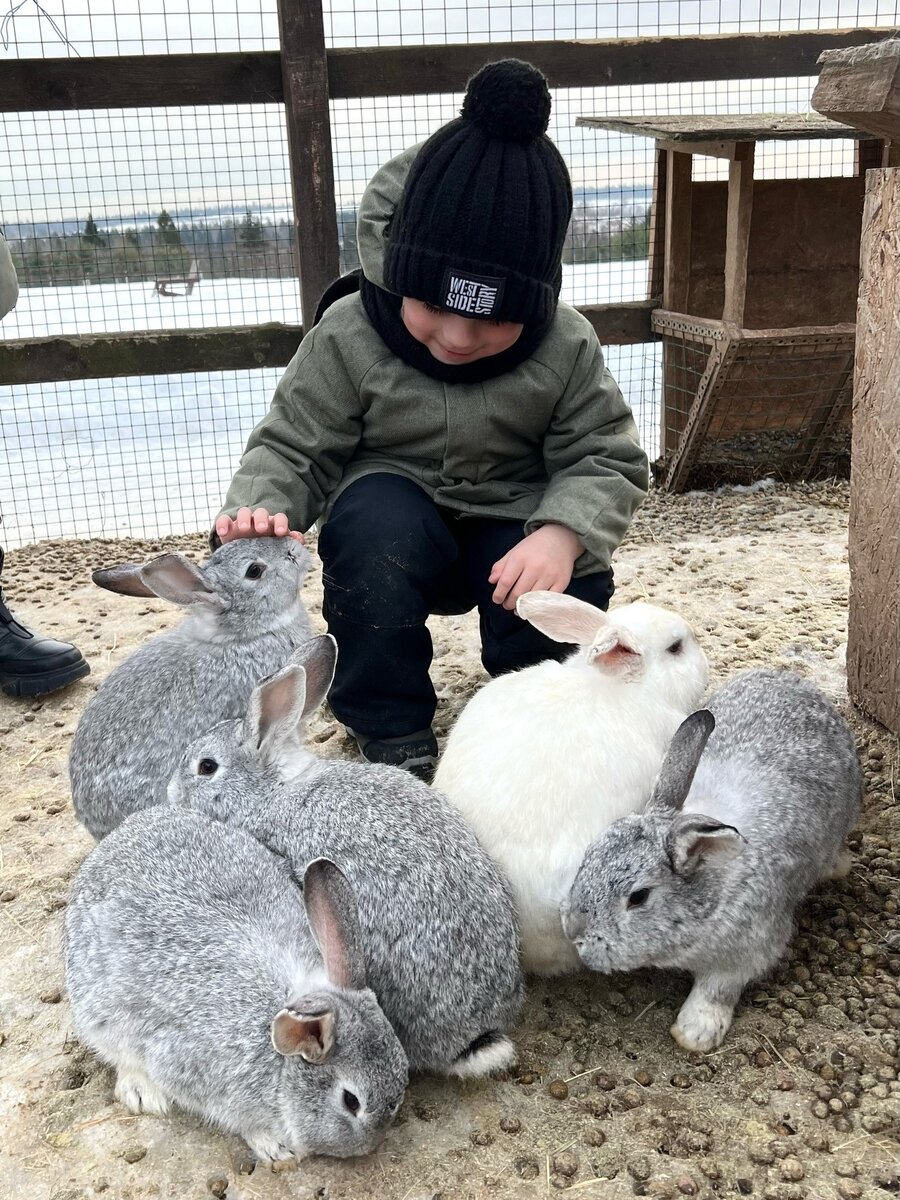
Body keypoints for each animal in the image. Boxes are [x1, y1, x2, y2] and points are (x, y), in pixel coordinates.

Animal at [65, 806, 410, 1161]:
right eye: (351, 1101)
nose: (371, 1144)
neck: (282, 1062)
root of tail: (122, 832)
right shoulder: (192, 1071)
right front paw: (275, 1147)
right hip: (98, 1010)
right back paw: (142, 1092)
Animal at [564, 667, 868, 1051]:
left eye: (639, 897)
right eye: (589, 855)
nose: (573, 931)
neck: (714, 890)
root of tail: (792, 679)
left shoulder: (749, 951)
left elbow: (717, 990)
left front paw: (694, 1033)